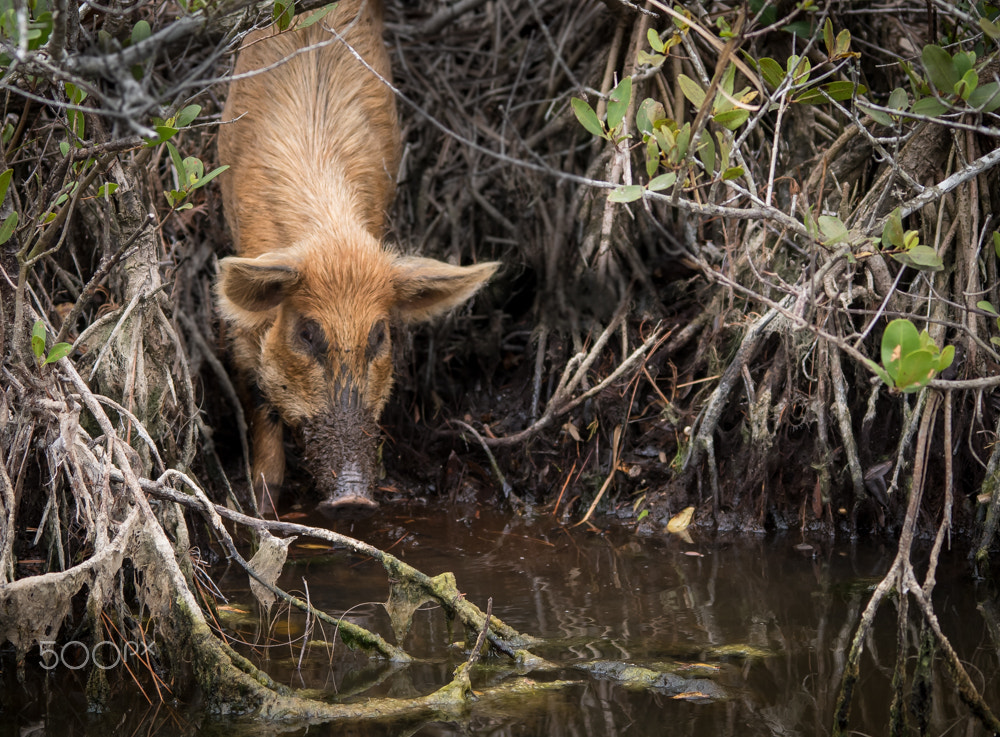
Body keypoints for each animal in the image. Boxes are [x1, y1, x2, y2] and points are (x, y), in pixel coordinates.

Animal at [219, 0, 500, 516]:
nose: (353, 498)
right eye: (307, 333)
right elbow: (261, 414)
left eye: (379, 335)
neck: (333, 236)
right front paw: (263, 510)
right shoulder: (240, 327)